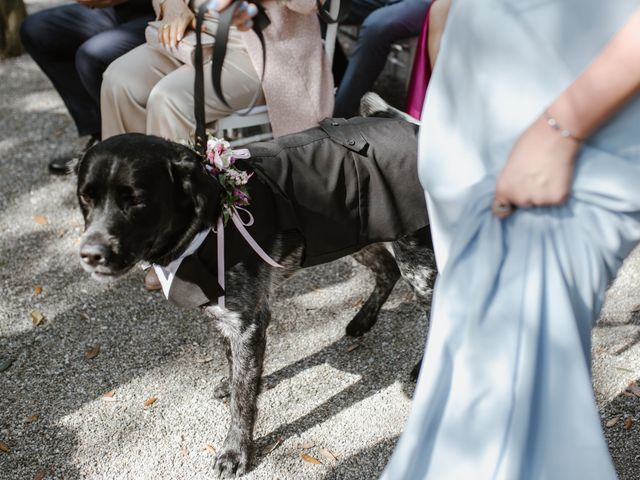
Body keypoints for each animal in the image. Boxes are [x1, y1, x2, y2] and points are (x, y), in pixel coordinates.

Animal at [74, 98, 436, 476]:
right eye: (85, 197)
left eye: (137, 200)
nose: (91, 255)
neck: (208, 222)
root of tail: (410, 125)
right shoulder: (225, 316)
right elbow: (236, 370)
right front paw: (231, 385)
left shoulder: (248, 322)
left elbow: (244, 399)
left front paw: (236, 451)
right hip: (352, 236)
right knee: (387, 269)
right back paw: (362, 321)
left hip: (415, 259)